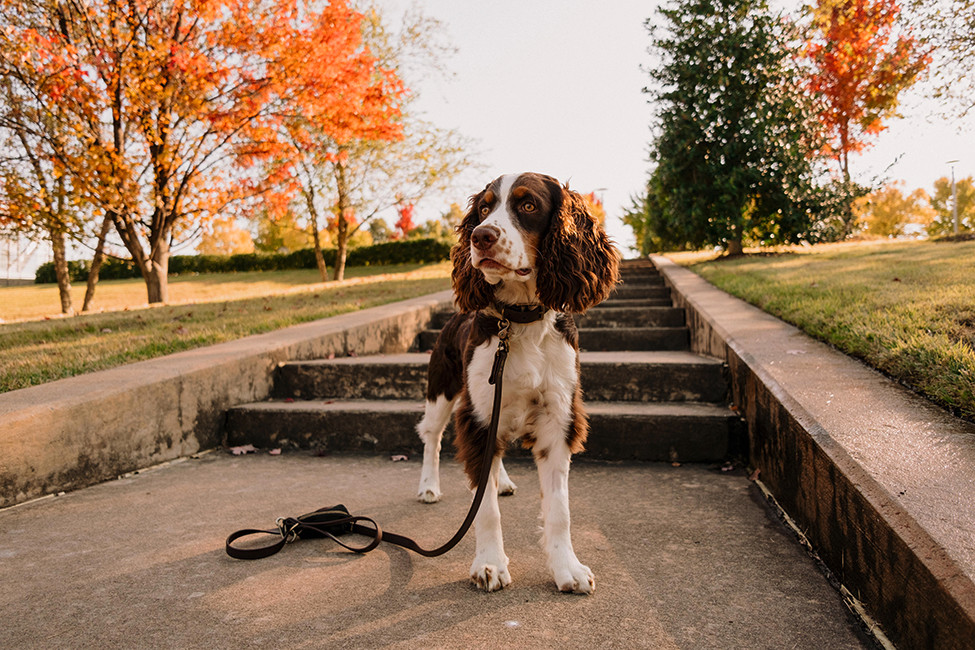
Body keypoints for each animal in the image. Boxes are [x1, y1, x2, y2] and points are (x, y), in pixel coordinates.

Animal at [416, 172, 620, 592]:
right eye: (483, 209)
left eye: (528, 205)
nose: (480, 236)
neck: (519, 320)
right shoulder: (477, 414)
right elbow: (486, 509)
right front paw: (489, 564)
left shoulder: (558, 416)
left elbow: (559, 510)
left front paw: (567, 568)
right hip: (442, 389)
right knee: (431, 435)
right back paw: (429, 485)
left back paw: (501, 480)